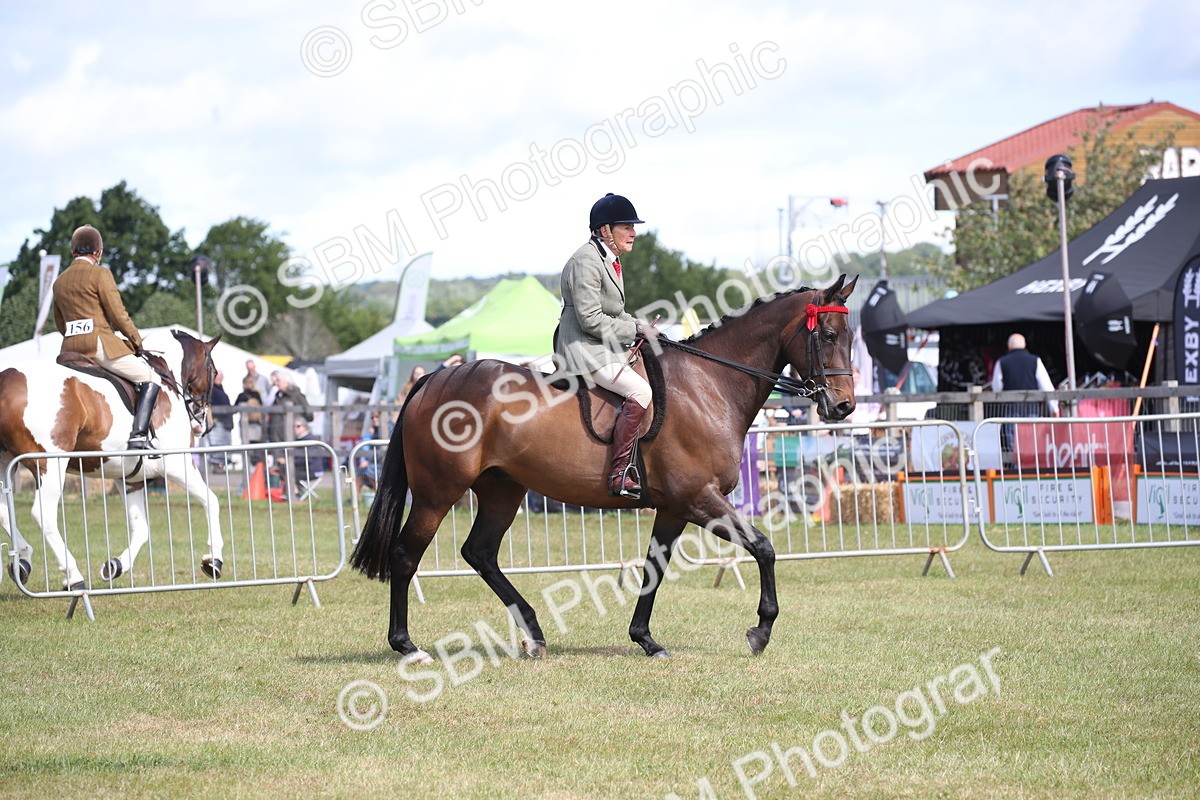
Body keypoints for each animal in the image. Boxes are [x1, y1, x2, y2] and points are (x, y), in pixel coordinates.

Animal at [0, 329, 224, 591]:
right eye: (214, 372)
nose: (204, 424)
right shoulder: (178, 464)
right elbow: (211, 501)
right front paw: (214, 561)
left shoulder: (130, 480)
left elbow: (141, 530)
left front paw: (115, 566)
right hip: (49, 465)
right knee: (43, 515)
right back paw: (73, 576)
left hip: (6, 463)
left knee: (4, 512)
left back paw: (23, 560)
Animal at [351, 274, 859, 660]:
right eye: (828, 335)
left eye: (852, 337)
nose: (843, 406)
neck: (708, 384)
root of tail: (435, 379)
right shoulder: (701, 499)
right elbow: (764, 548)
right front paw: (760, 631)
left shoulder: (675, 508)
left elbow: (655, 567)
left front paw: (646, 639)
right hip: (438, 493)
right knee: (406, 555)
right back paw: (407, 645)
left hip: (502, 490)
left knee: (480, 553)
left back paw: (534, 634)